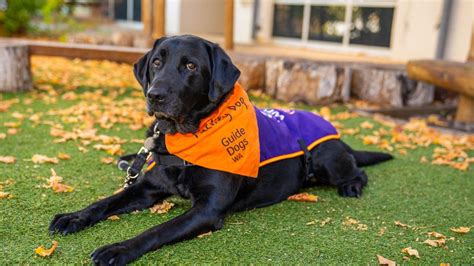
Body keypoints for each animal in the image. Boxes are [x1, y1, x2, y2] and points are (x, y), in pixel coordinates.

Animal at [50, 34, 394, 264]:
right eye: (157, 62)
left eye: (190, 66)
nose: (154, 94)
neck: (186, 138)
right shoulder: (146, 188)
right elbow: (105, 202)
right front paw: (73, 217)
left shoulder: (207, 209)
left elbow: (157, 230)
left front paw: (118, 249)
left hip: (326, 159)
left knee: (358, 170)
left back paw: (351, 185)